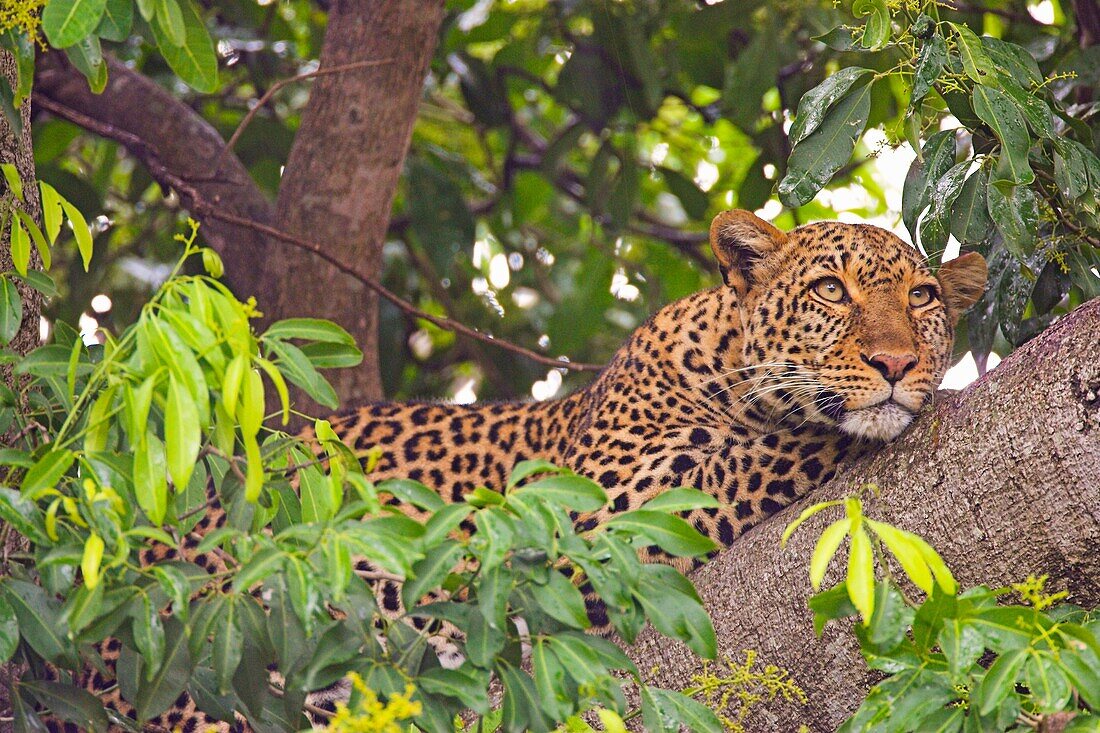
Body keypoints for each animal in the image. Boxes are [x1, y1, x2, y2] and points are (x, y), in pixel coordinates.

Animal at [55, 208, 990, 726]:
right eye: (831, 290)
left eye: (923, 299)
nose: (898, 363)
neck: (722, 360)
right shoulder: (591, 518)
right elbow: (765, 448)